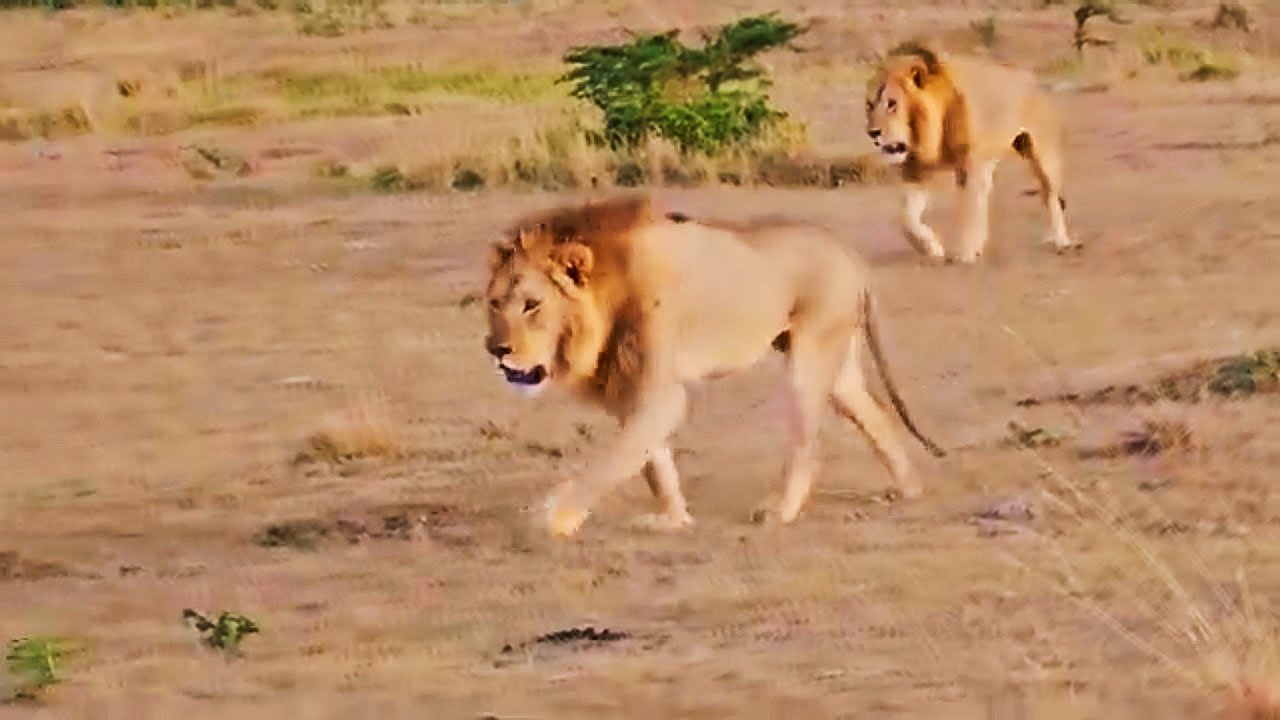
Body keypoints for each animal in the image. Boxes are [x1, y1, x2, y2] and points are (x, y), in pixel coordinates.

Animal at [482, 193, 946, 537]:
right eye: (495, 303)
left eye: (532, 305)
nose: (496, 349)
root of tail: (851, 255)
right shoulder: (630, 390)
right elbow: (652, 461)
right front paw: (674, 519)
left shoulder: (660, 393)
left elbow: (610, 463)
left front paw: (549, 521)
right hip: (836, 362)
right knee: (875, 415)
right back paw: (909, 489)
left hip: (810, 356)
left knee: (808, 447)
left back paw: (780, 511)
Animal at [864, 42, 1080, 263]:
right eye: (869, 105)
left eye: (892, 103)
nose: (872, 133)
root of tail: (1031, 78)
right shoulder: (915, 171)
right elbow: (906, 219)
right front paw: (932, 248)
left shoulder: (970, 166)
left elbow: (969, 212)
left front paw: (965, 256)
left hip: (1042, 154)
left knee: (1051, 197)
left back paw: (1062, 241)